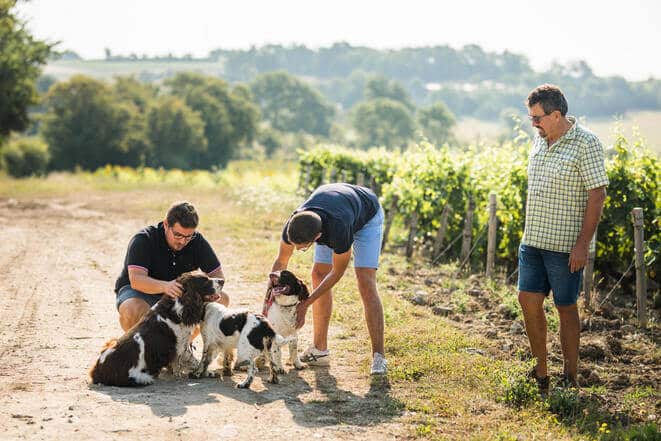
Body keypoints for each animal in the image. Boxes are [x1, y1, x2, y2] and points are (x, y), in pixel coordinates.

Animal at [89, 270, 223, 386]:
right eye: (205, 281)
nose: (222, 280)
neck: (178, 306)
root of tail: (97, 370)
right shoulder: (179, 346)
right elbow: (189, 361)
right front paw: (199, 373)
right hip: (140, 377)